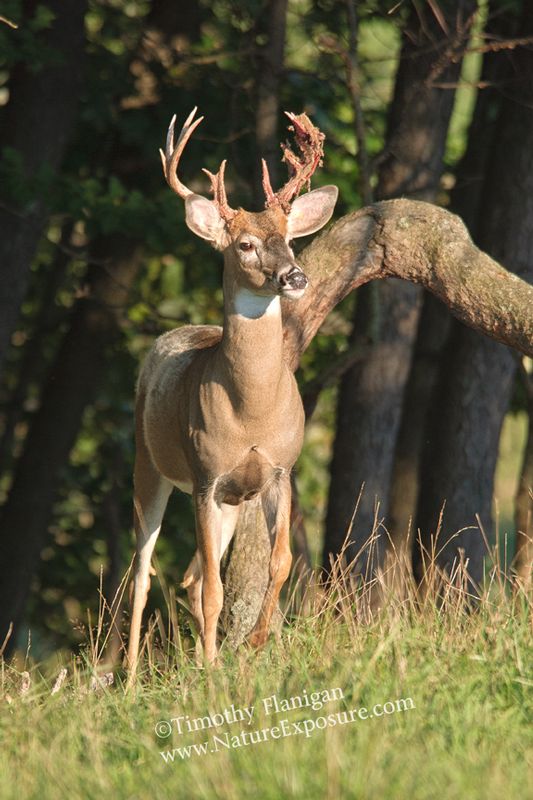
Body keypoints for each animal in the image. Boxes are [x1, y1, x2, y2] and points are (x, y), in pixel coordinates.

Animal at [126, 108, 337, 683]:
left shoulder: (279, 468)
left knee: (191, 578)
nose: (295, 275)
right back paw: (127, 681)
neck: (251, 413)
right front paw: (213, 668)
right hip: (149, 467)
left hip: (227, 503)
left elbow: (279, 563)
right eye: (244, 244)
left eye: (289, 238)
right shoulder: (206, 474)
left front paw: (256, 643)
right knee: (144, 576)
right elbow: (217, 591)